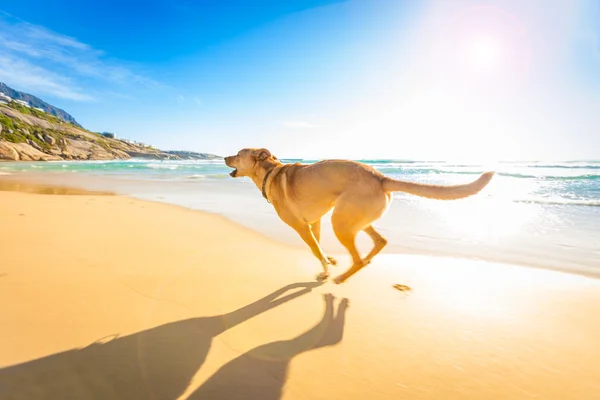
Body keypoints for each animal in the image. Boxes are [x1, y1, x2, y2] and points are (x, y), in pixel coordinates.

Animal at [223, 148, 494, 284]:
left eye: (237, 153)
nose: (223, 157)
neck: (270, 172)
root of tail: (380, 177)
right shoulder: (315, 222)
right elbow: (319, 246)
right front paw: (329, 262)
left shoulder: (302, 227)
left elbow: (315, 250)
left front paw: (326, 271)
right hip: (356, 220)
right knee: (380, 241)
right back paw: (364, 261)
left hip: (340, 222)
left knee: (358, 259)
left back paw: (342, 277)